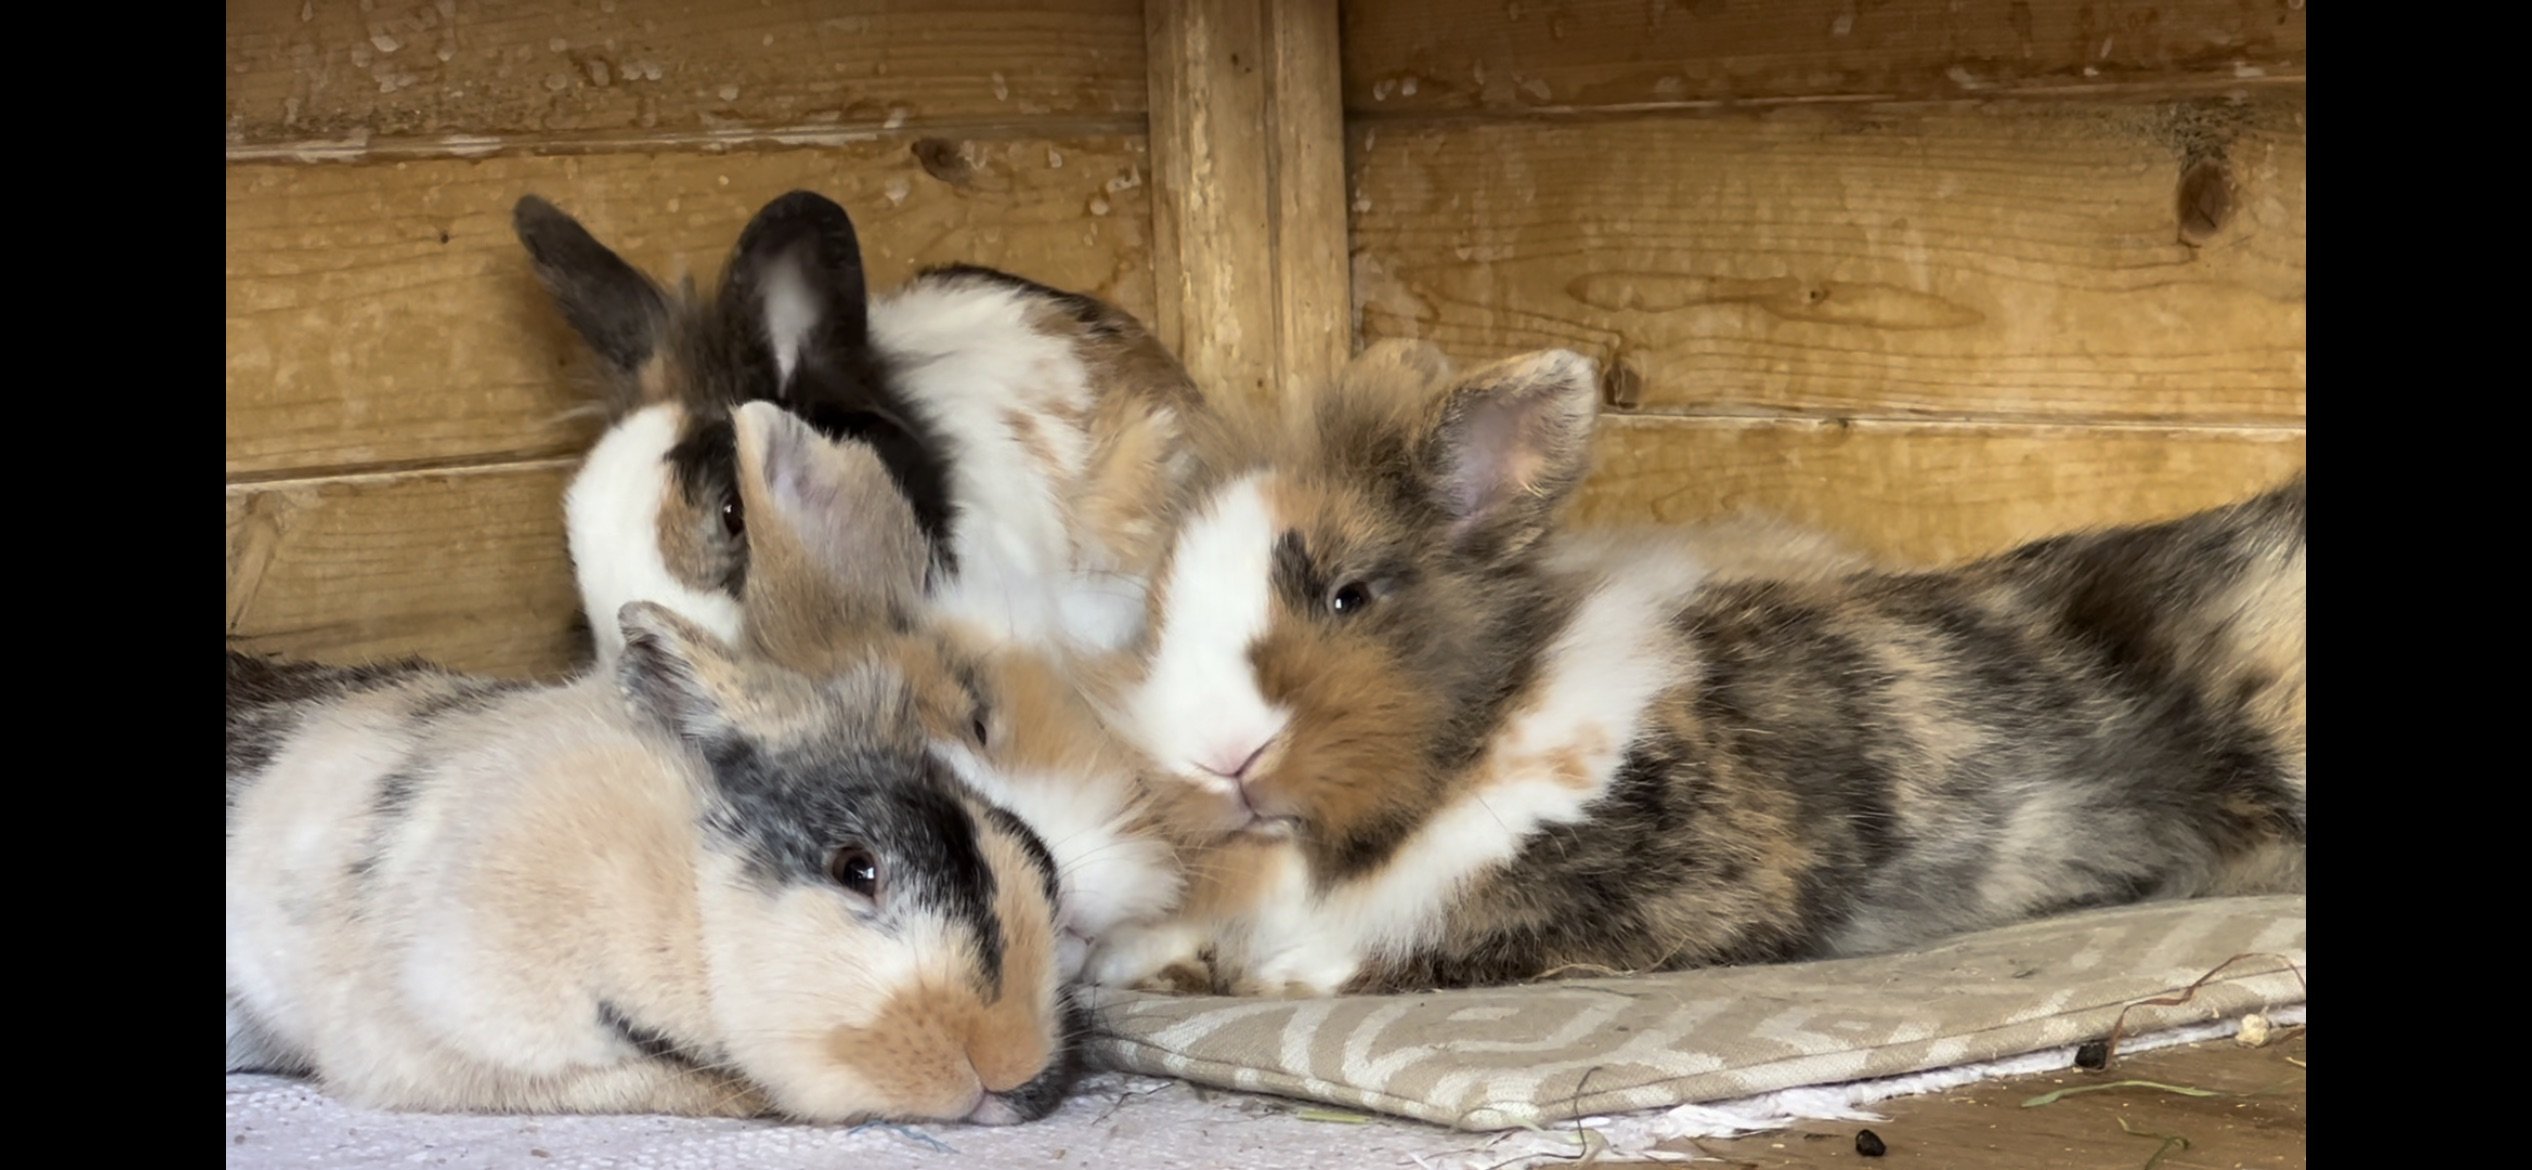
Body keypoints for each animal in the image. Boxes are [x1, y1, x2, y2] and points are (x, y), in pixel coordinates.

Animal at [1085, 344, 2306, 997]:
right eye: (1156, 619)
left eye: (1349, 595)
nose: (1218, 757)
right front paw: (1146, 967)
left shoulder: (1680, 902)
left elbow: (1450, 947)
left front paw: (1281, 978)